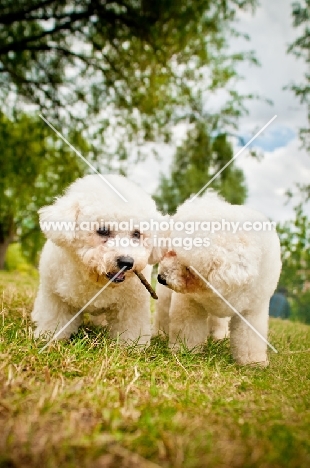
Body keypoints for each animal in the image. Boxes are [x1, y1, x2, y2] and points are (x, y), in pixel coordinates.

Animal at [32, 174, 161, 346]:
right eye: (103, 230)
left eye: (136, 234)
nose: (127, 262)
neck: (95, 279)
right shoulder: (56, 296)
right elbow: (55, 318)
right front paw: (48, 337)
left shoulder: (132, 304)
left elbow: (131, 326)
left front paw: (131, 346)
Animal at [154, 193, 282, 366]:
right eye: (172, 252)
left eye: (189, 269)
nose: (161, 278)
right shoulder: (189, 301)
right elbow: (187, 326)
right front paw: (185, 351)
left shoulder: (252, 309)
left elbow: (250, 338)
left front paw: (252, 362)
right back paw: (160, 333)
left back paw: (218, 336)